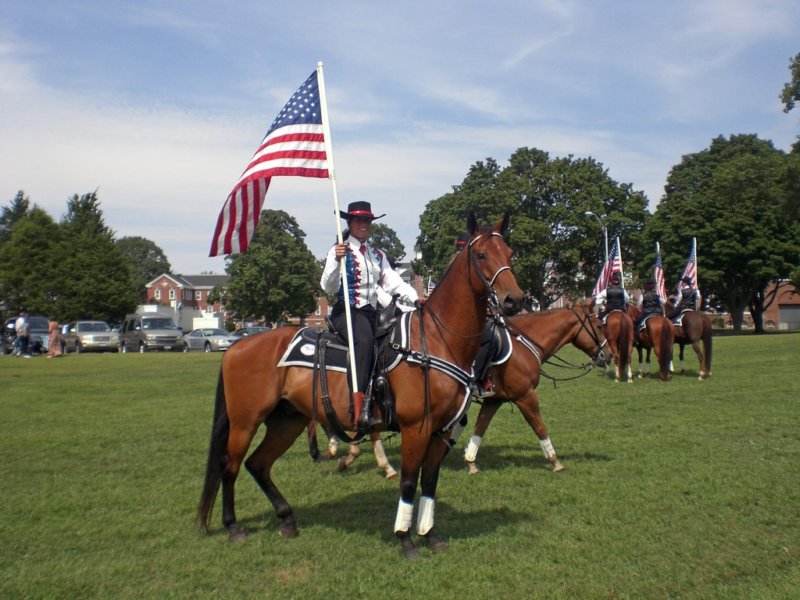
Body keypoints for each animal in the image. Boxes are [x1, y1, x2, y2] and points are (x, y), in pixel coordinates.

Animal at [197, 212, 524, 556]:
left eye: (509, 253)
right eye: (481, 255)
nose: (514, 299)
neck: (438, 339)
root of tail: (237, 346)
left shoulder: (441, 430)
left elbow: (430, 482)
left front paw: (430, 535)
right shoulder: (416, 428)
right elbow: (409, 481)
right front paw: (405, 538)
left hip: (287, 420)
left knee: (258, 464)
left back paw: (287, 519)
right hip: (245, 422)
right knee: (230, 465)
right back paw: (233, 527)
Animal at [456, 302, 608, 476]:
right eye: (599, 326)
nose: (609, 355)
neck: (522, 345)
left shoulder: (494, 400)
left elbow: (480, 428)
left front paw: (471, 463)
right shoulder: (525, 396)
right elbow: (539, 427)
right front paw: (555, 461)